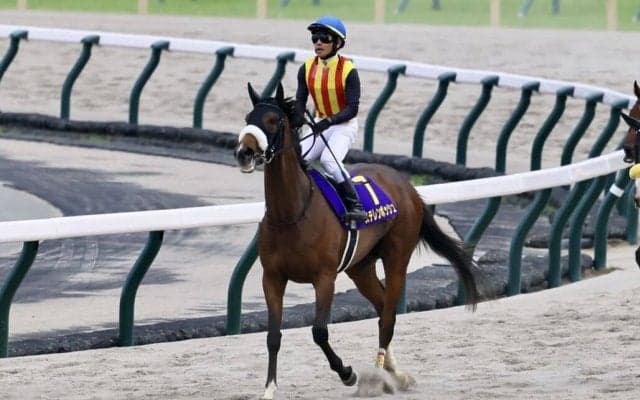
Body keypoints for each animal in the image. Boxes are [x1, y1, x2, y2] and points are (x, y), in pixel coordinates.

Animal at [234, 82, 482, 399]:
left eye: (273, 120)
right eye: (247, 117)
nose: (244, 152)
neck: (292, 212)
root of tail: (407, 186)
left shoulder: (324, 277)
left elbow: (319, 331)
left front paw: (347, 373)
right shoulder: (273, 277)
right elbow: (273, 335)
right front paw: (269, 390)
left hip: (397, 257)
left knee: (388, 316)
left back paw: (378, 376)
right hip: (360, 267)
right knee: (382, 306)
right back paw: (395, 373)